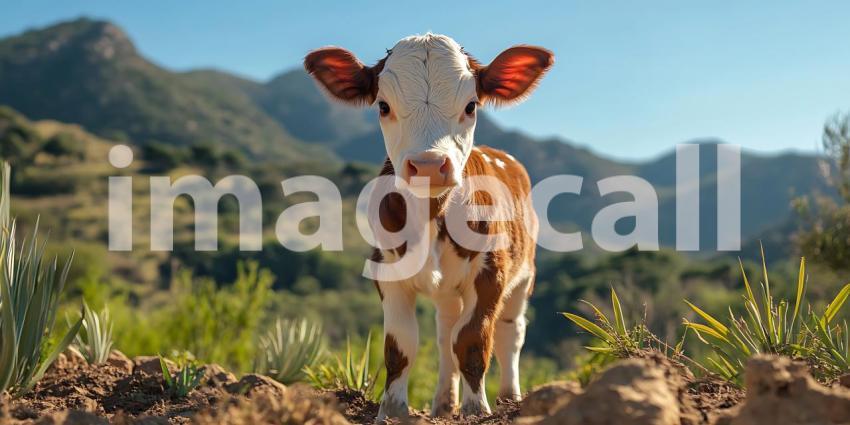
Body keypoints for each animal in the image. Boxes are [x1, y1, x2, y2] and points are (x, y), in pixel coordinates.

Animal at [304, 33, 553, 420]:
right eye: (383, 106)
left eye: (471, 106)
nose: (428, 165)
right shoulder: (385, 270)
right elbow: (402, 345)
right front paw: (392, 410)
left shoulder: (491, 273)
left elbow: (473, 340)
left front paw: (475, 408)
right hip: (448, 291)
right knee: (445, 332)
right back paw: (442, 403)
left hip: (524, 275)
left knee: (510, 333)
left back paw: (509, 399)